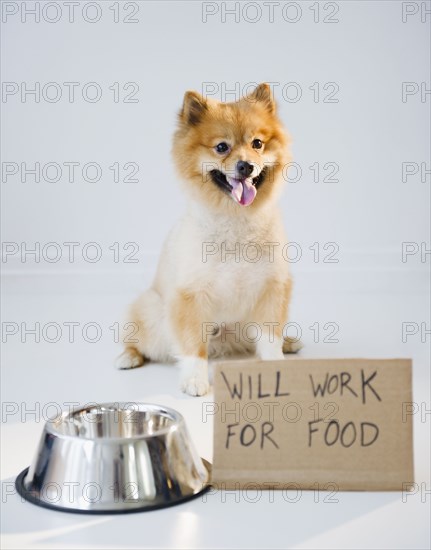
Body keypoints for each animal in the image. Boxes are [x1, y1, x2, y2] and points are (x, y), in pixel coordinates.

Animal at [116, 84, 302, 396]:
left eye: (257, 144)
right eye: (221, 147)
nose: (246, 166)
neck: (236, 221)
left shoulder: (272, 288)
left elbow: (269, 338)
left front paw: (277, 366)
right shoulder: (192, 295)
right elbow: (193, 347)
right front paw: (194, 379)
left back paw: (289, 342)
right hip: (153, 314)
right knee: (138, 338)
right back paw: (127, 356)